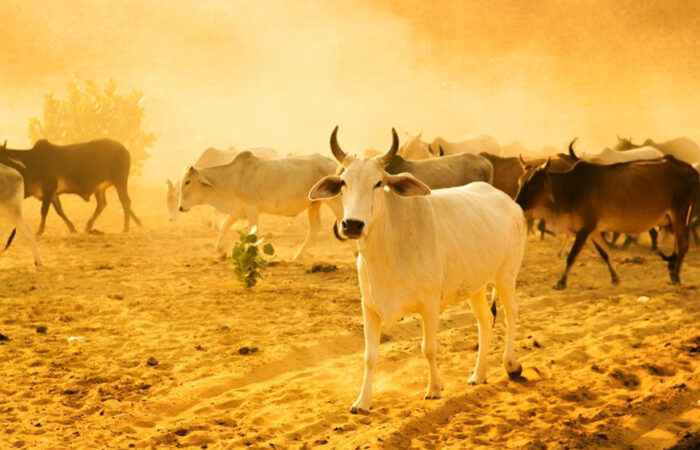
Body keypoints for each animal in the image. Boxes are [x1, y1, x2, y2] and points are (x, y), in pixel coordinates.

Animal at [0, 139, 141, 235]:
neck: (31, 162)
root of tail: (124, 150)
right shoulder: (52, 194)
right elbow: (60, 211)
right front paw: (72, 228)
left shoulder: (49, 189)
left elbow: (44, 210)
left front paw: (39, 230)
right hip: (100, 188)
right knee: (102, 204)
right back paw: (89, 226)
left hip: (120, 182)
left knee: (125, 201)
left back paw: (126, 227)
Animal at [178, 152, 342, 260]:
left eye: (187, 182)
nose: (180, 207)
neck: (232, 179)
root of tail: (335, 164)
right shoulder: (239, 210)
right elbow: (224, 225)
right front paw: (220, 249)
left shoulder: (252, 209)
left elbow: (253, 234)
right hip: (314, 205)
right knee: (314, 228)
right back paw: (297, 256)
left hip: (334, 201)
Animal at [309, 127, 527, 414]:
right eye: (344, 182)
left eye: (378, 183)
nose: (352, 224)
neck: (388, 250)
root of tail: (510, 202)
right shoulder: (369, 307)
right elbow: (370, 356)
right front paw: (362, 401)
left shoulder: (430, 305)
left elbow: (429, 348)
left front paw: (434, 389)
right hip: (475, 286)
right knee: (485, 322)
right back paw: (478, 375)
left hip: (506, 276)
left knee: (511, 313)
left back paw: (511, 364)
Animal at [515, 155, 698, 289]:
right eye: (520, 181)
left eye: (534, 184)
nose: (517, 204)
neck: (570, 190)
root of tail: (690, 168)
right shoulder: (593, 230)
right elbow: (605, 254)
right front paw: (615, 278)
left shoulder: (584, 230)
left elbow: (572, 256)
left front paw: (561, 282)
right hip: (669, 220)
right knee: (678, 243)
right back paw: (672, 270)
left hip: (679, 214)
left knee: (683, 243)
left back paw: (676, 276)